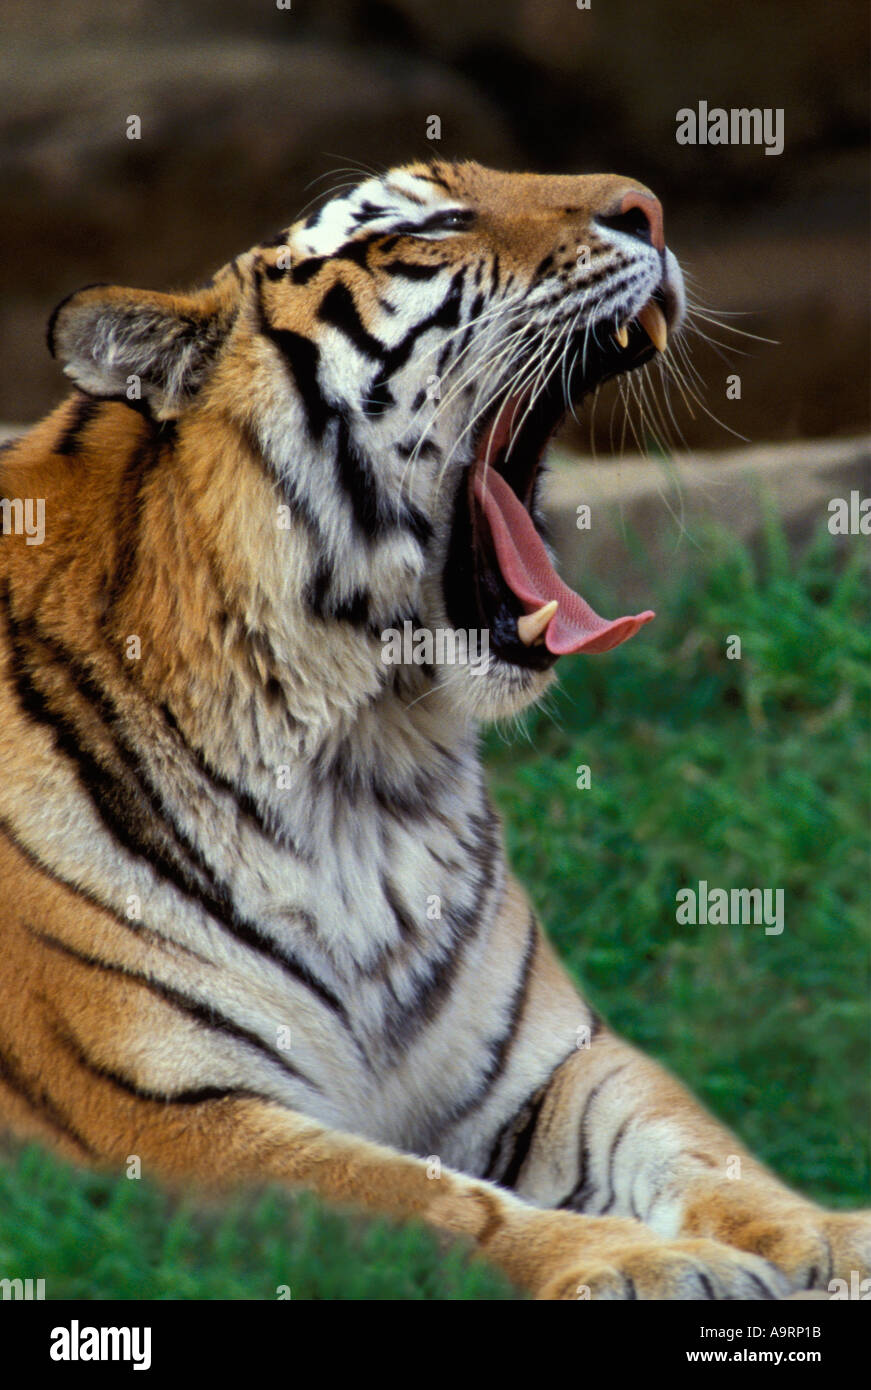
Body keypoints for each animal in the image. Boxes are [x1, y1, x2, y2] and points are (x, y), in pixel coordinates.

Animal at [0, 158, 868, 1302]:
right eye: (436, 226)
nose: (648, 207)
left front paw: (829, 1235)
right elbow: (422, 1199)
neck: (365, 763)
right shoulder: (165, 1117)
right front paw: (652, 1259)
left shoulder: (549, 1064)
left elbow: (694, 1142)